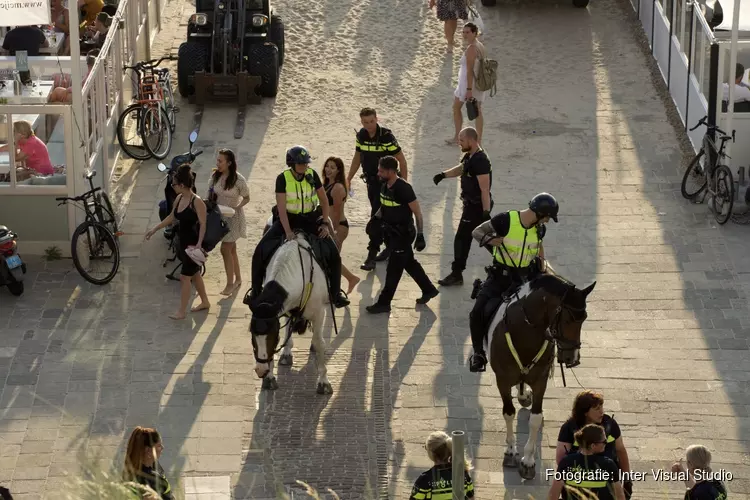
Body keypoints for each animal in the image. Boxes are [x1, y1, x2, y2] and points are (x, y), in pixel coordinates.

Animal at [250, 234, 332, 394]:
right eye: (252, 334)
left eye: (272, 336)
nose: (260, 370)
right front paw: (270, 378)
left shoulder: (320, 312)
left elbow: (320, 343)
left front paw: (323, 382)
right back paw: (286, 353)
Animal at [488, 270, 600, 480]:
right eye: (568, 319)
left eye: (584, 318)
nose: (573, 358)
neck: (525, 333)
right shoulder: (502, 380)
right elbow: (508, 413)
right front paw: (510, 451)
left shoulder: (540, 381)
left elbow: (535, 418)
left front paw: (528, 461)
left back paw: (523, 395)